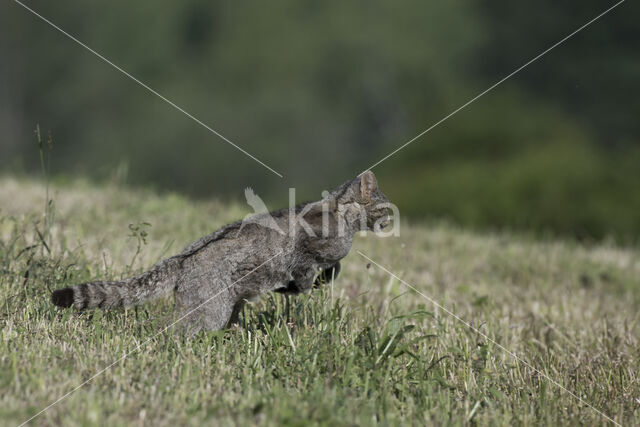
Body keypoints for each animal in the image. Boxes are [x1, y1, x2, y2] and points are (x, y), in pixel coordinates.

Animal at [51, 171, 390, 334]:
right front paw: (309, 283)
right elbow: (325, 266)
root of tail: (182, 258)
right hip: (208, 312)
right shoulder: (310, 252)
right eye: (386, 207)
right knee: (170, 330)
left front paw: (305, 284)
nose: (392, 220)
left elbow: (326, 271)